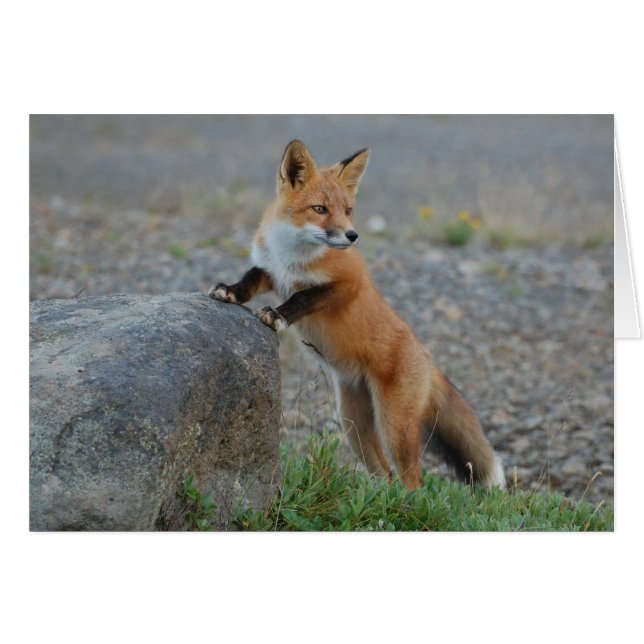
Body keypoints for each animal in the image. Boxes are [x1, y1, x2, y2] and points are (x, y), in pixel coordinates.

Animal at [209, 140, 505, 490]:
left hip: (395, 428)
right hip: (354, 426)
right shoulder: (271, 270)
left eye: (348, 210)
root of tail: (426, 358)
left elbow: (302, 297)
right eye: (320, 209)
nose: (353, 236)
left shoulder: (348, 283)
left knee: (412, 481)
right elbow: (250, 278)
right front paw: (229, 292)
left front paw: (277, 316)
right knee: (385, 474)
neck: (291, 255)